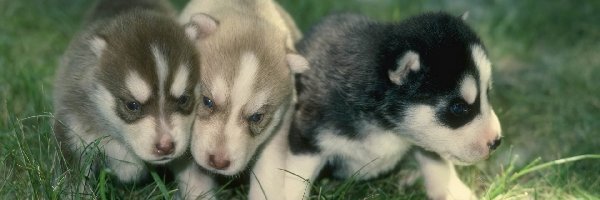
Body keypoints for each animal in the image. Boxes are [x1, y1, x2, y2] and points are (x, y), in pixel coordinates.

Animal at [52, 0, 213, 198]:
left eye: (183, 99)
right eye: (132, 105)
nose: (166, 146)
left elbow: (197, 181)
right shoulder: (73, 133)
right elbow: (74, 183)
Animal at [177, 0, 310, 195]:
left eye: (257, 117)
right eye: (207, 101)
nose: (219, 162)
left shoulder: (281, 125)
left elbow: (269, 170)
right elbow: (194, 177)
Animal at [282, 12, 502, 200]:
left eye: (488, 94)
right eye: (458, 108)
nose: (497, 141)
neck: (385, 127)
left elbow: (436, 161)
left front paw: (454, 191)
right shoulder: (307, 137)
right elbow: (294, 179)